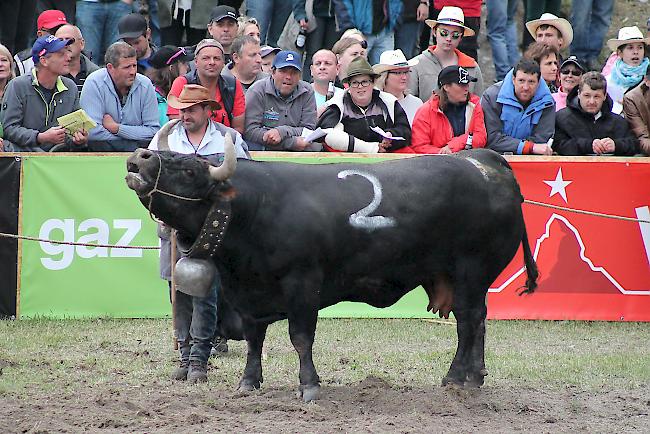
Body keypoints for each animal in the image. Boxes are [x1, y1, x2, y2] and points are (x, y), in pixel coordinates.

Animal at [123, 145, 536, 400]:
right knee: (477, 323)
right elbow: (255, 340)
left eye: (189, 168)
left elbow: (301, 338)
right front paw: (249, 382)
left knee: (469, 323)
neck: (256, 209)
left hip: (471, 272)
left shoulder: (303, 285)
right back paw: (472, 377)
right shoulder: (250, 296)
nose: (140, 157)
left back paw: (456, 378)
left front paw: (309, 386)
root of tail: (483, 160)